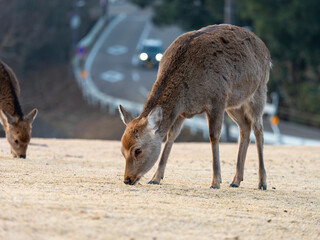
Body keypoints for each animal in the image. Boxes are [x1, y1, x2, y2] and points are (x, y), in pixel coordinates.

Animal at [119, 23, 272, 189]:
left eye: (138, 150)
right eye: (122, 150)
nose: (127, 179)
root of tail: (266, 50)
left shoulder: (217, 99)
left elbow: (213, 136)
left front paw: (216, 182)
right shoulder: (180, 111)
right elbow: (171, 136)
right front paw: (156, 178)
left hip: (259, 91)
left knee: (258, 129)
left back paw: (262, 182)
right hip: (234, 104)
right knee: (245, 127)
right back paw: (236, 181)